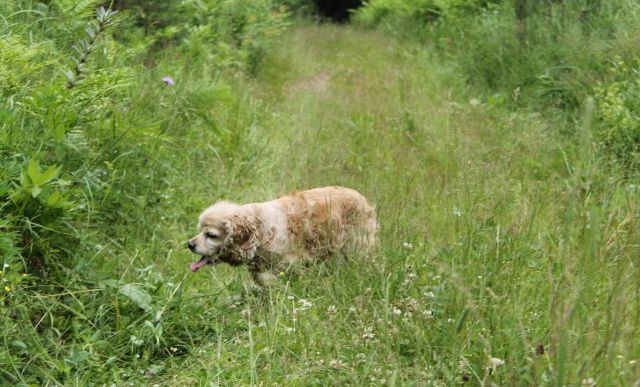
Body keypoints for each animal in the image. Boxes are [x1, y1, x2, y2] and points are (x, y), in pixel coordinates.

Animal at [186, 186, 376, 286]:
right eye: (199, 230)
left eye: (210, 235)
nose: (189, 244)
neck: (261, 232)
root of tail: (361, 197)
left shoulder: (292, 262)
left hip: (356, 248)